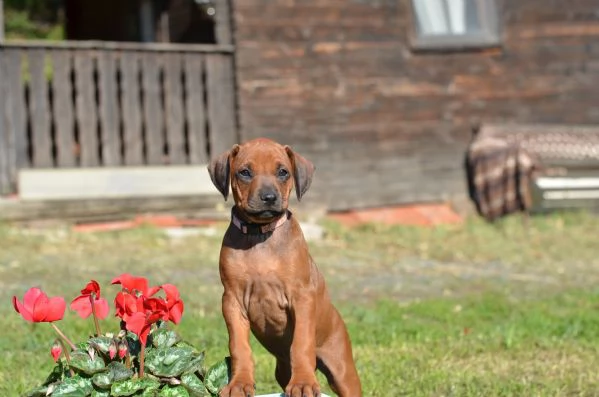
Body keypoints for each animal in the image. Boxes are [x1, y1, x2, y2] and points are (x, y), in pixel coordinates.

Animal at [209, 138, 364, 396]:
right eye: (245, 172)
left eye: (283, 172)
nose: (269, 197)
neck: (260, 234)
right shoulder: (232, 301)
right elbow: (239, 346)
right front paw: (239, 383)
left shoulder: (302, 298)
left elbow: (301, 343)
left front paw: (303, 383)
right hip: (282, 370)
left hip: (342, 369)